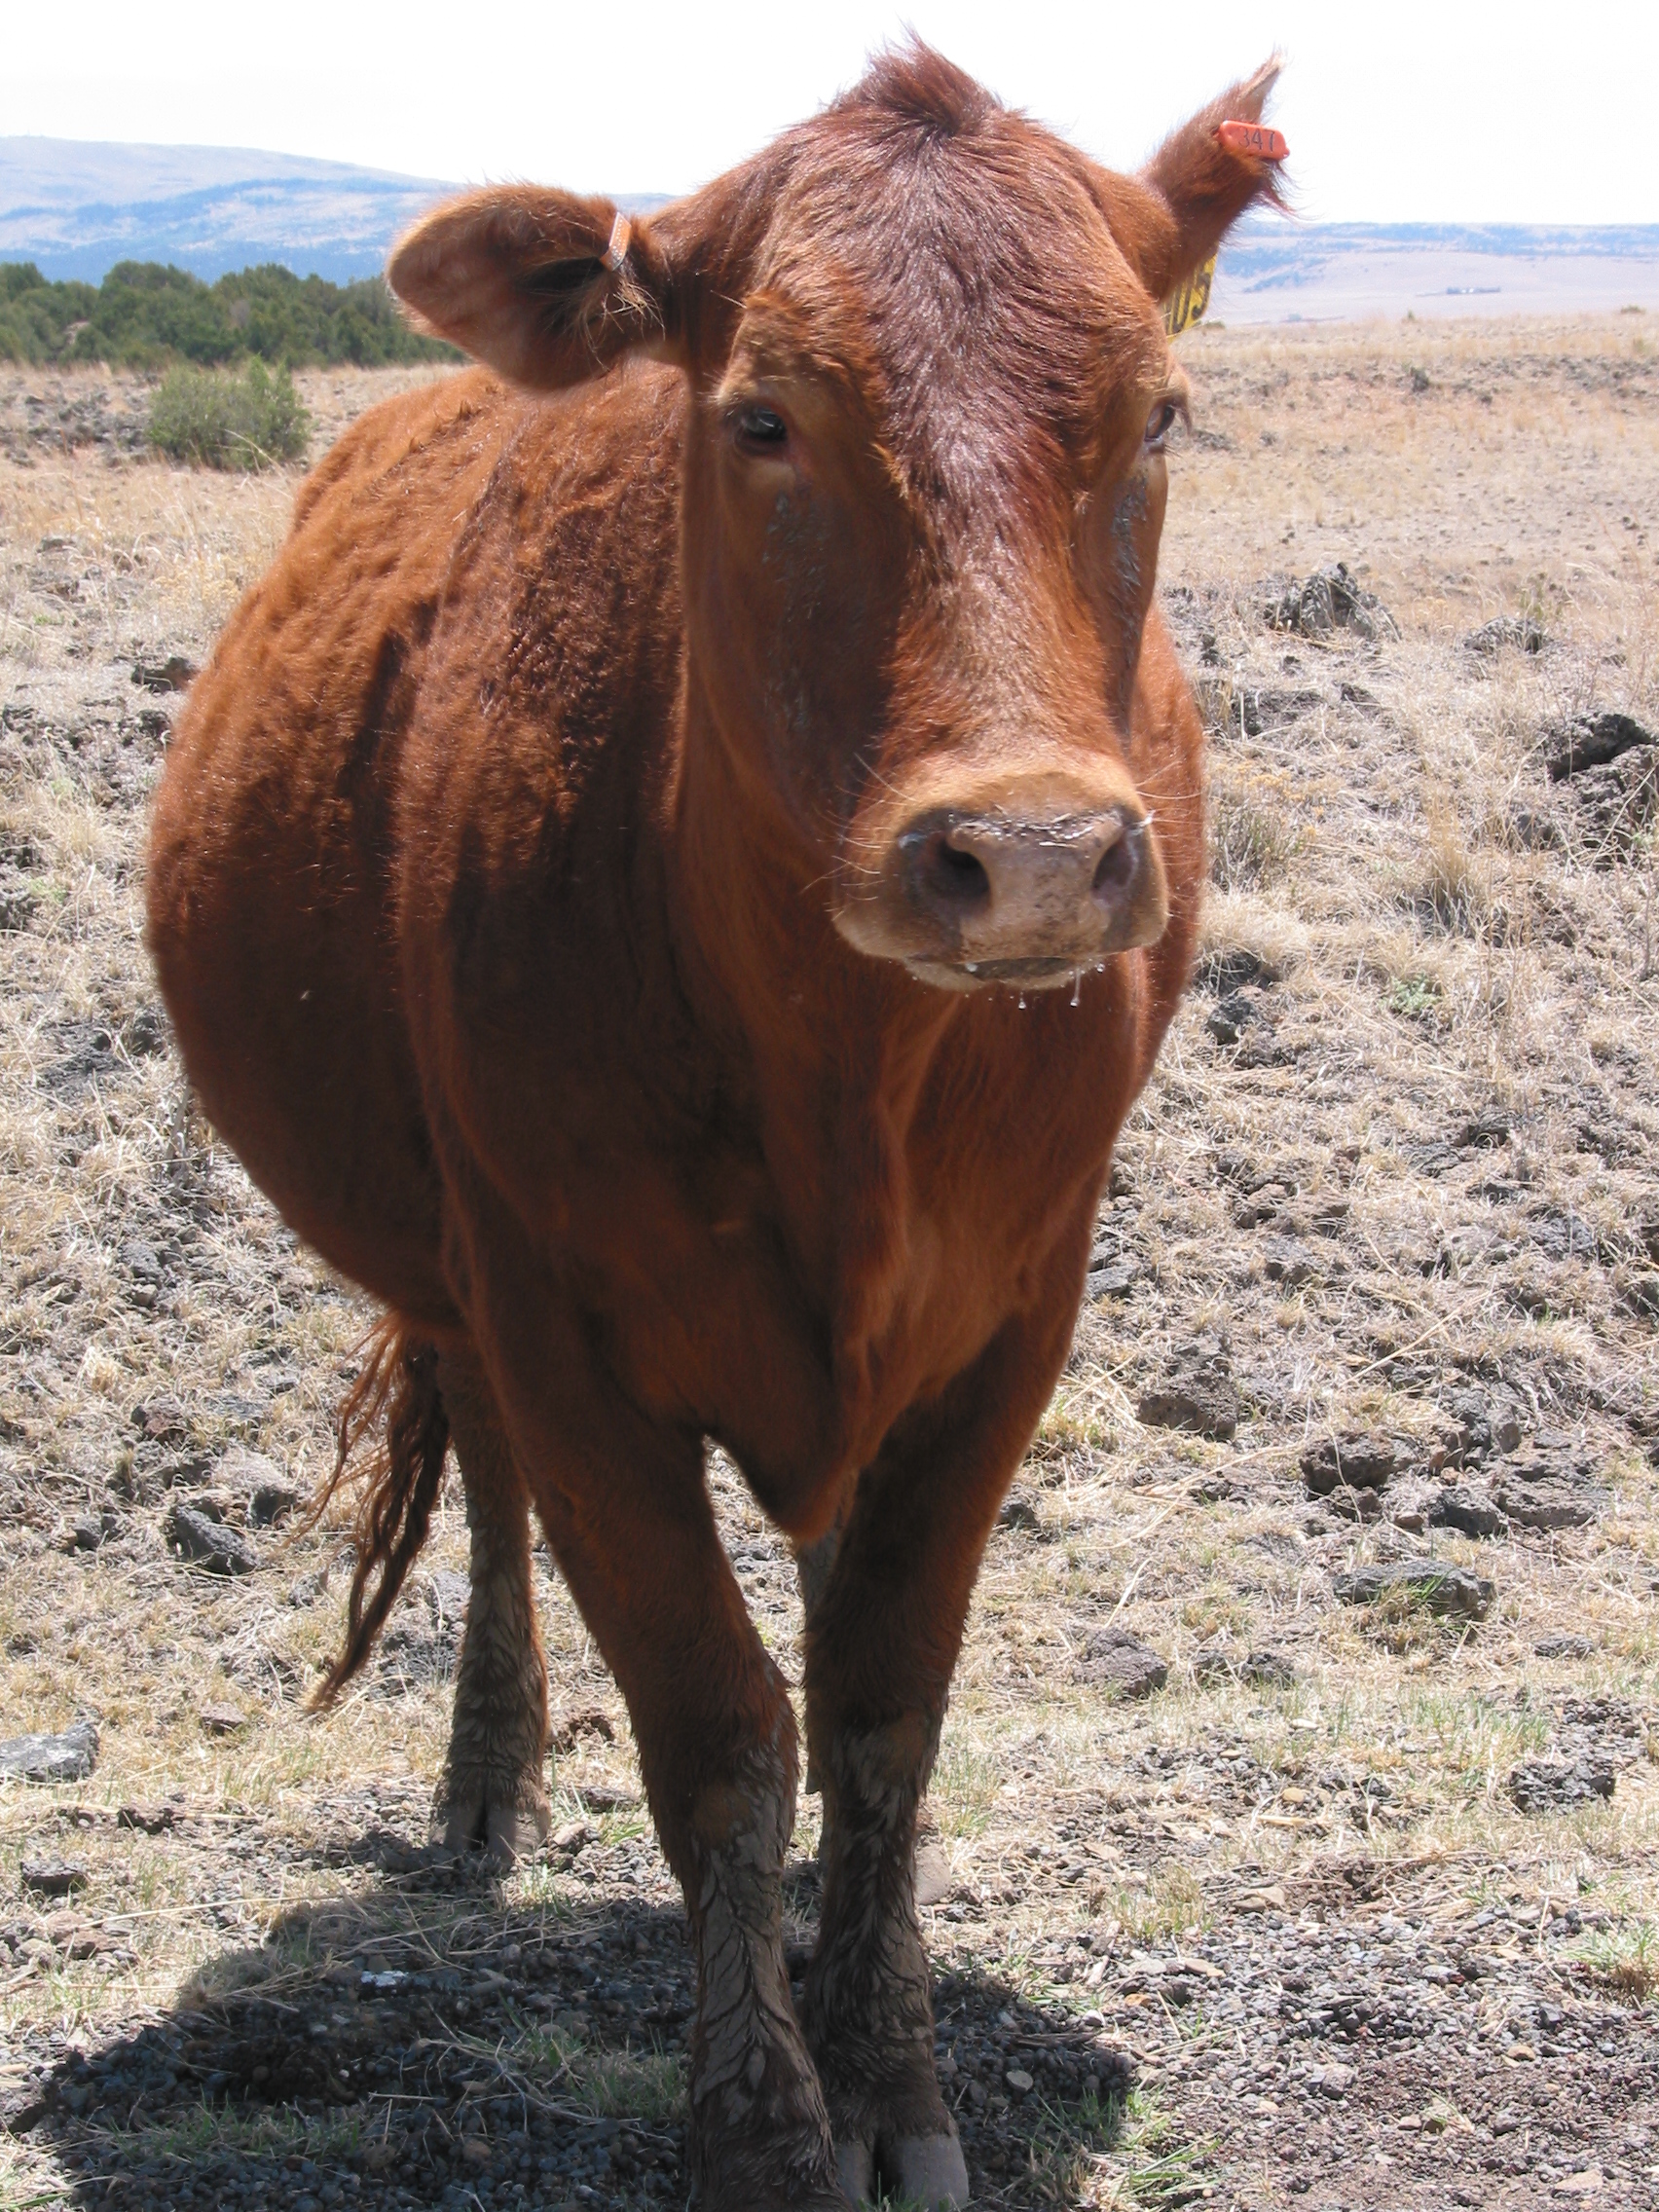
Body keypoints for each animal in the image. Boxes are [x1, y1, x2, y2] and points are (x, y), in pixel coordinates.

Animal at [145, 52, 1282, 2212]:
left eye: (1159, 415)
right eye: (761, 416)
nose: (1028, 855)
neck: (843, 1071)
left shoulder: (1012, 1318)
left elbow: (879, 1703)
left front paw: (889, 2069)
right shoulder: (563, 1323)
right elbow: (718, 1730)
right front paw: (763, 2128)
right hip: (456, 1280)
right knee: (489, 1487)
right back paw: (484, 1780)